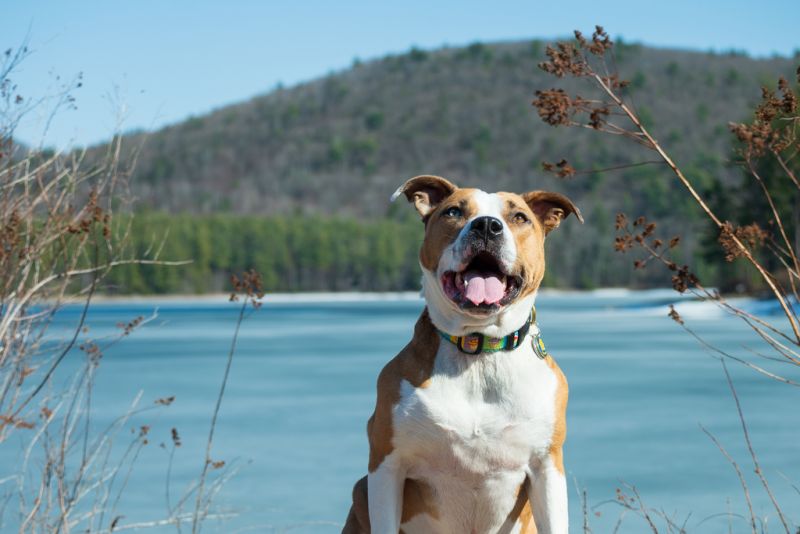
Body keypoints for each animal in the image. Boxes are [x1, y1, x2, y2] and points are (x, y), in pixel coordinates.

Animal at [342, 177, 580, 534]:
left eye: (519, 217)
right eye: (454, 211)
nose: (487, 225)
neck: (477, 350)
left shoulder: (547, 467)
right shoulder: (387, 465)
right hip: (361, 490)